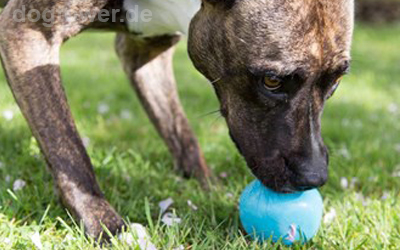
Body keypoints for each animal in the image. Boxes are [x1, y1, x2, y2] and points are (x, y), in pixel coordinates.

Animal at [0, 0, 354, 238]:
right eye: (272, 81)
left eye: (336, 81)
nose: (314, 176)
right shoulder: (29, 32)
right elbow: (68, 149)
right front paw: (105, 224)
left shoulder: (144, 53)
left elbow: (182, 133)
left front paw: (207, 189)